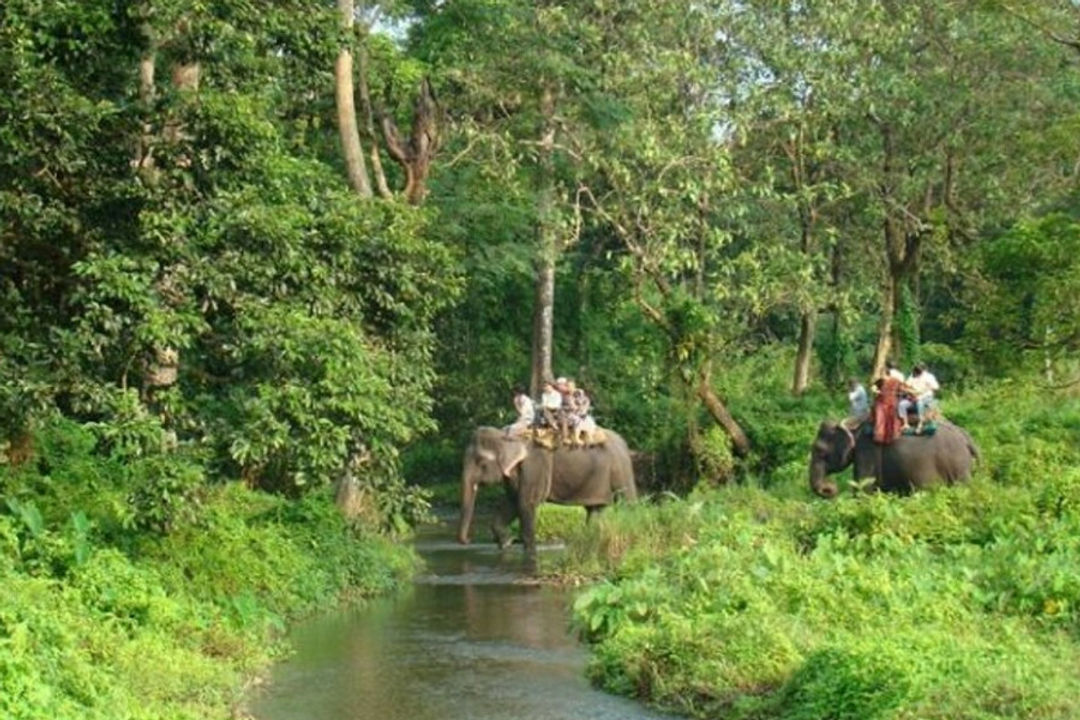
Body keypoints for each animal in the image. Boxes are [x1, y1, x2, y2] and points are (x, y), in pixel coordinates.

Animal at [453, 425, 630, 557]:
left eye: (481, 463)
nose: (469, 539)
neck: (505, 434)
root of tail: (624, 444)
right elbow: (512, 502)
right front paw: (506, 543)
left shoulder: (534, 466)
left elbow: (526, 504)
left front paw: (528, 551)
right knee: (595, 511)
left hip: (621, 470)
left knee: (628, 503)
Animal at [812, 418, 980, 498]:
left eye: (820, 451)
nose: (829, 488)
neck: (853, 426)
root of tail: (966, 438)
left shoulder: (866, 452)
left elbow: (864, 489)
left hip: (959, 467)